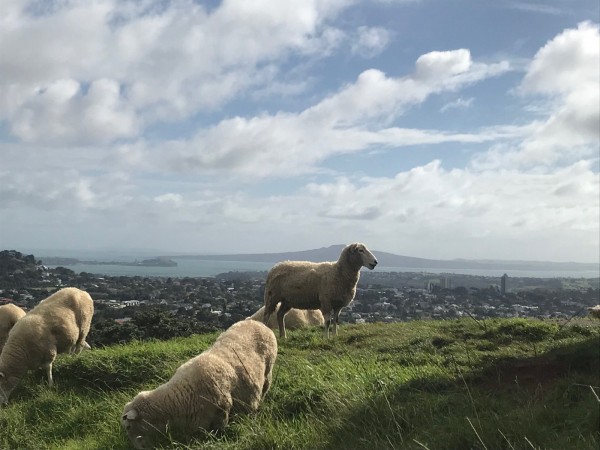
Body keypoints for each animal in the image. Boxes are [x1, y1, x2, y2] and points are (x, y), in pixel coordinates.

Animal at [122, 318, 282, 448]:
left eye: (129, 427)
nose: (138, 448)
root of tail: (257, 322)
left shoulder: (222, 408)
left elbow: (220, 429)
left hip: (268, 372)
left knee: (264, 389)